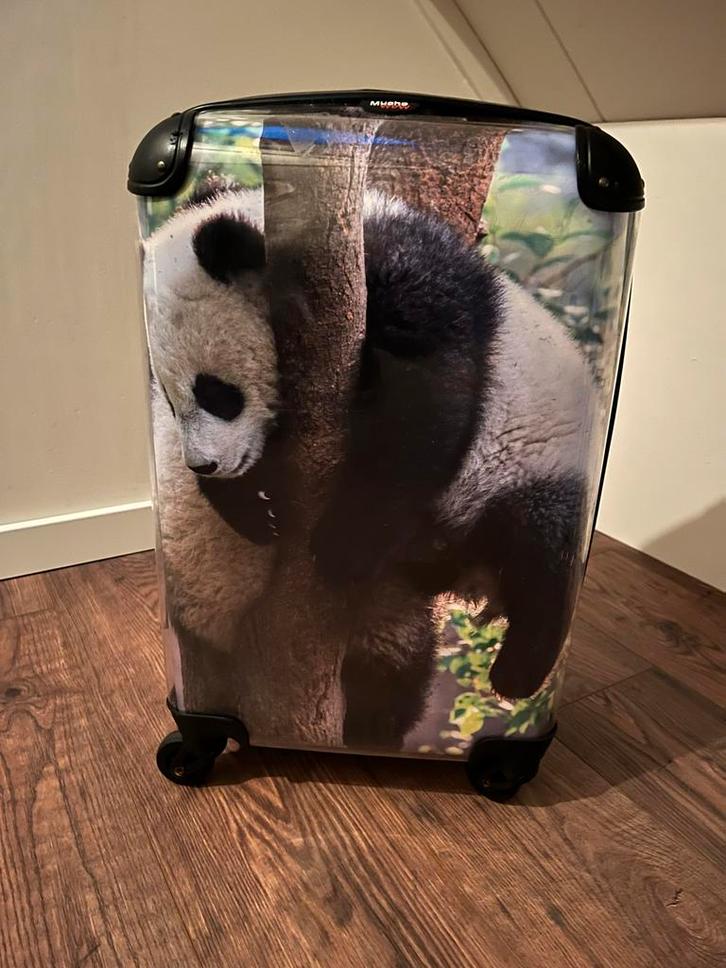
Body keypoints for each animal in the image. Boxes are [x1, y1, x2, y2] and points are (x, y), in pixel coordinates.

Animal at [142, 179, 595, 743]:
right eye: (168, 396)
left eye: (216, 394)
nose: (204, 466)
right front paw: (256, 506)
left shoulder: (410, 284)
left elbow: (423, 407)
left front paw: (342, 545)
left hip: (529, 458)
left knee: (543, 547)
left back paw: (517, 668)